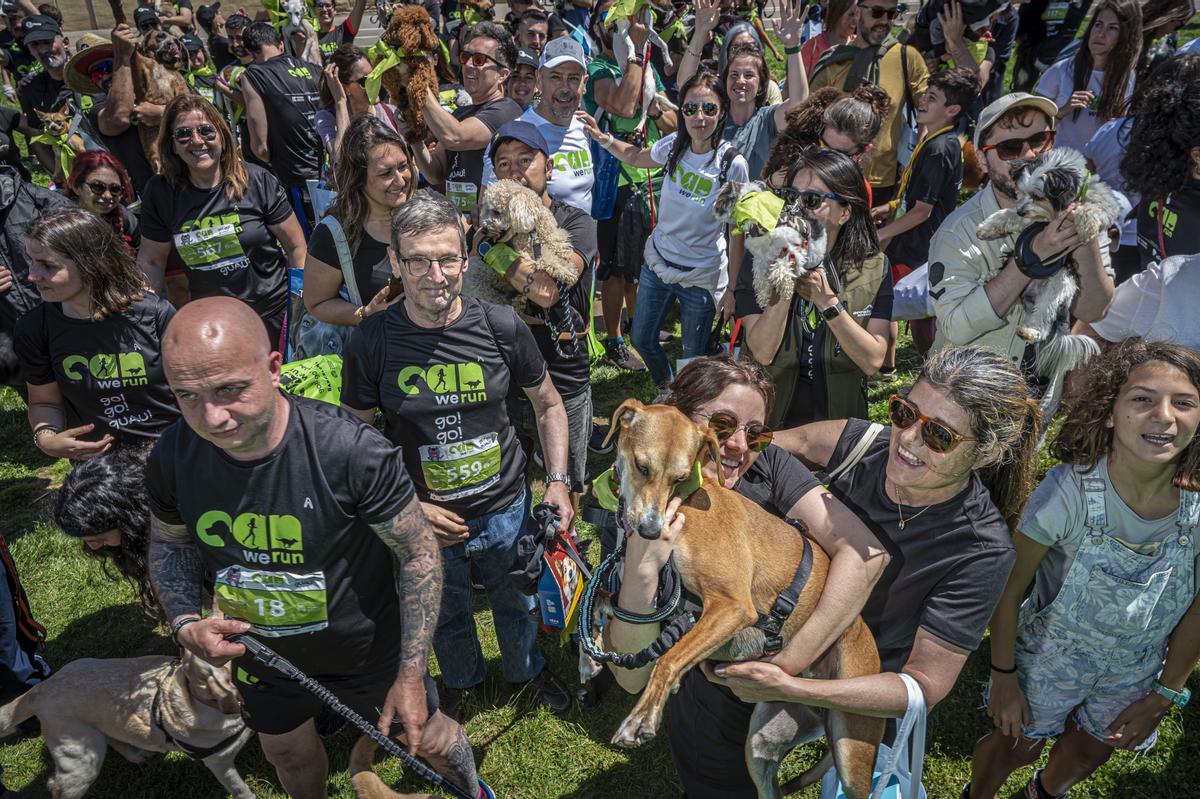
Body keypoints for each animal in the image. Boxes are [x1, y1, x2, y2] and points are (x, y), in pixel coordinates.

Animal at [460, 178, 578, 309]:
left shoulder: (551, 231)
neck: (531, 231)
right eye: (486, 210)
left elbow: (556, 240)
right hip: (479, 280)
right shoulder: (525, 254)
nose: (483, 230)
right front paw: (564, 269)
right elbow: (543, 258)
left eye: (496, 212)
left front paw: (563, 258)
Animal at [600, 398, 883, 796]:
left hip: (852, 752)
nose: (651, 531)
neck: (687, 502)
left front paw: (641, 718)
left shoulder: (732, 605)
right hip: (761, 746)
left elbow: (667, 660)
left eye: (679, 478)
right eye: (642, 466)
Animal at [710, 179, 825, 307]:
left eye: (721, 196)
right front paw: (763, 297)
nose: (713, 207)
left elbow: (781, 266)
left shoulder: (792, 247)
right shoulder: (761, 256)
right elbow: (760, 276)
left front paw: (785, 287)